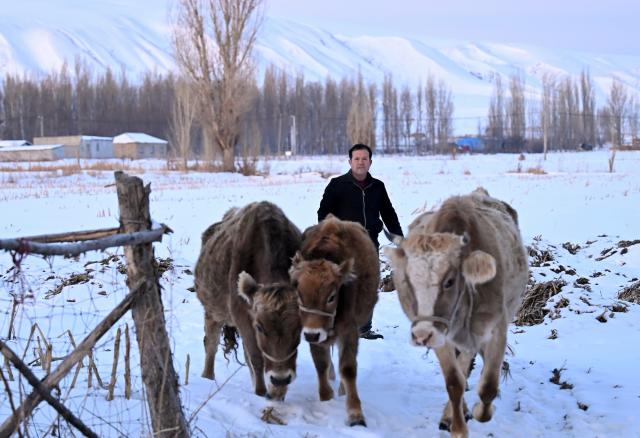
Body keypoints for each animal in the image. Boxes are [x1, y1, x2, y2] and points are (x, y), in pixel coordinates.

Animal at [194, 201, 302, 401]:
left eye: (299, 327)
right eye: (260, 327)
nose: (280, 378)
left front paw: (277, 393)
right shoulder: (242, 317)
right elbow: (256, 358)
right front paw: (260, 392)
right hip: (212, 310)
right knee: (211, 344)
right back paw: (207, 376)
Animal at [289, 215, 380, 426]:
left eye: (331, 297)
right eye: (299, 293)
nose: (313, 334)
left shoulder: (349, 330)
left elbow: (348, 368)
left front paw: (355, 415)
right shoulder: (311, 333)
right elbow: (321, 364)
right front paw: (326, 399)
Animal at [384, 188, 528, 438]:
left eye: (449, 281)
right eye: (408, 280)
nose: (421, 336)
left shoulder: (496, 330)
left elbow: (488, 386)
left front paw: (481, 410)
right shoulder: (441, 335)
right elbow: (454, 382)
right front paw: (457, 428)